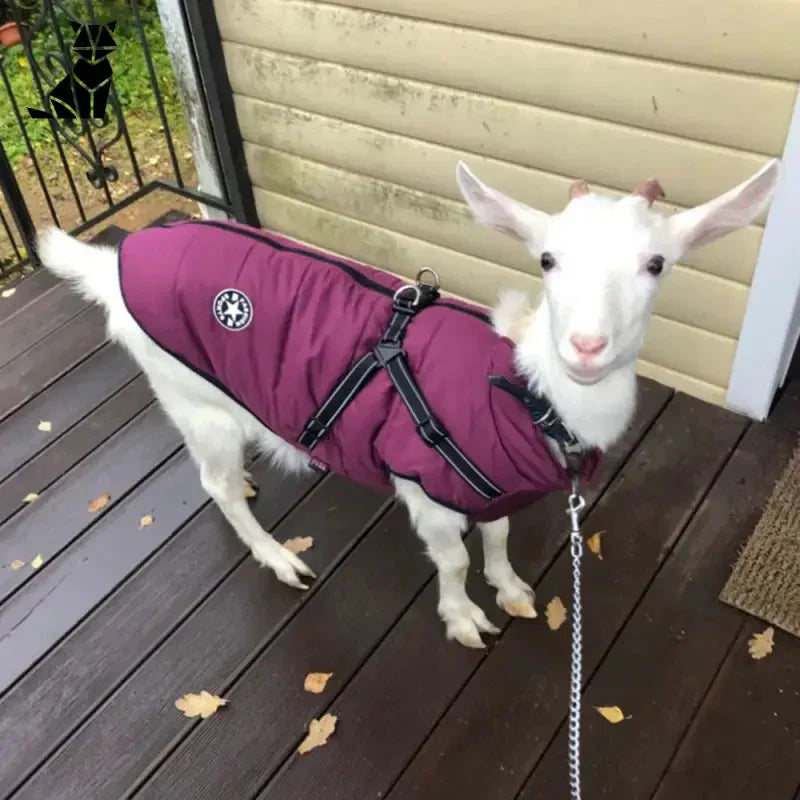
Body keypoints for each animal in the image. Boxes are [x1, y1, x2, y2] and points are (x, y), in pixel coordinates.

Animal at [39, 158, 780, 648]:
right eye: (547, 260)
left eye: (657, 264)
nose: (587, 347)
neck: (519, 389)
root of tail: (113, 262)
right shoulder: (424, 479)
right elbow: (452, 559)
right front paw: (465, 619)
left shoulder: (487, 481)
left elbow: (499, 534)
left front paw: (512, 592)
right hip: (192, 395)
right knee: (211, 483)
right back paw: (279, 558)